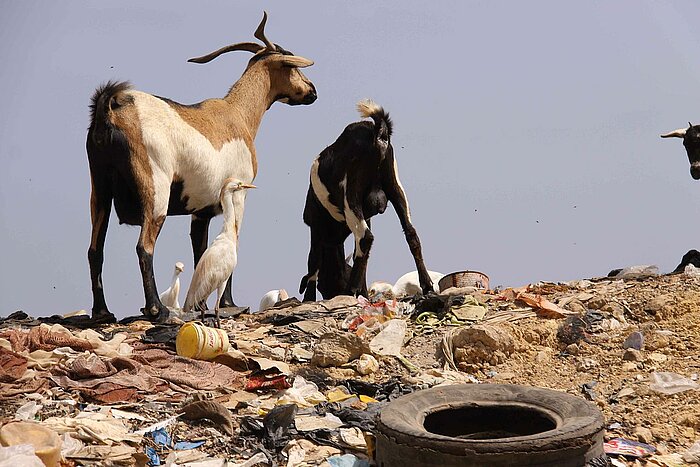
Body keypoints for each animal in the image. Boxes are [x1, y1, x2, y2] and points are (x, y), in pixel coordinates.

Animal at [87, 12, 318, 324]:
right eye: (291, 64)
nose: (313, 91)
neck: (237, 114)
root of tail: (110, 109)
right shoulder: (238, 194)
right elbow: (232, 240)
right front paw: (230, 303)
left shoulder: (201, 209)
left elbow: (201, 250)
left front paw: (202, 306)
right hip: (155, 189)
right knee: (144, 246)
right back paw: (156, 309)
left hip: (99, 188)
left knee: (94, 250)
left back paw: (102, 312)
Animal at [300, 100, 434, 302]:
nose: (331, 294)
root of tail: (377, 132)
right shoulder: (366, 216)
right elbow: (361, 256)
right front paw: (362, 292)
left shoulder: (315, 224)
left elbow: (313, 260)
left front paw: (308, 298)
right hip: (395, 186)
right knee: (411, 234)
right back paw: (427, 286)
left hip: (350, 194)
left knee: (365, 238)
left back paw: (351, 291)